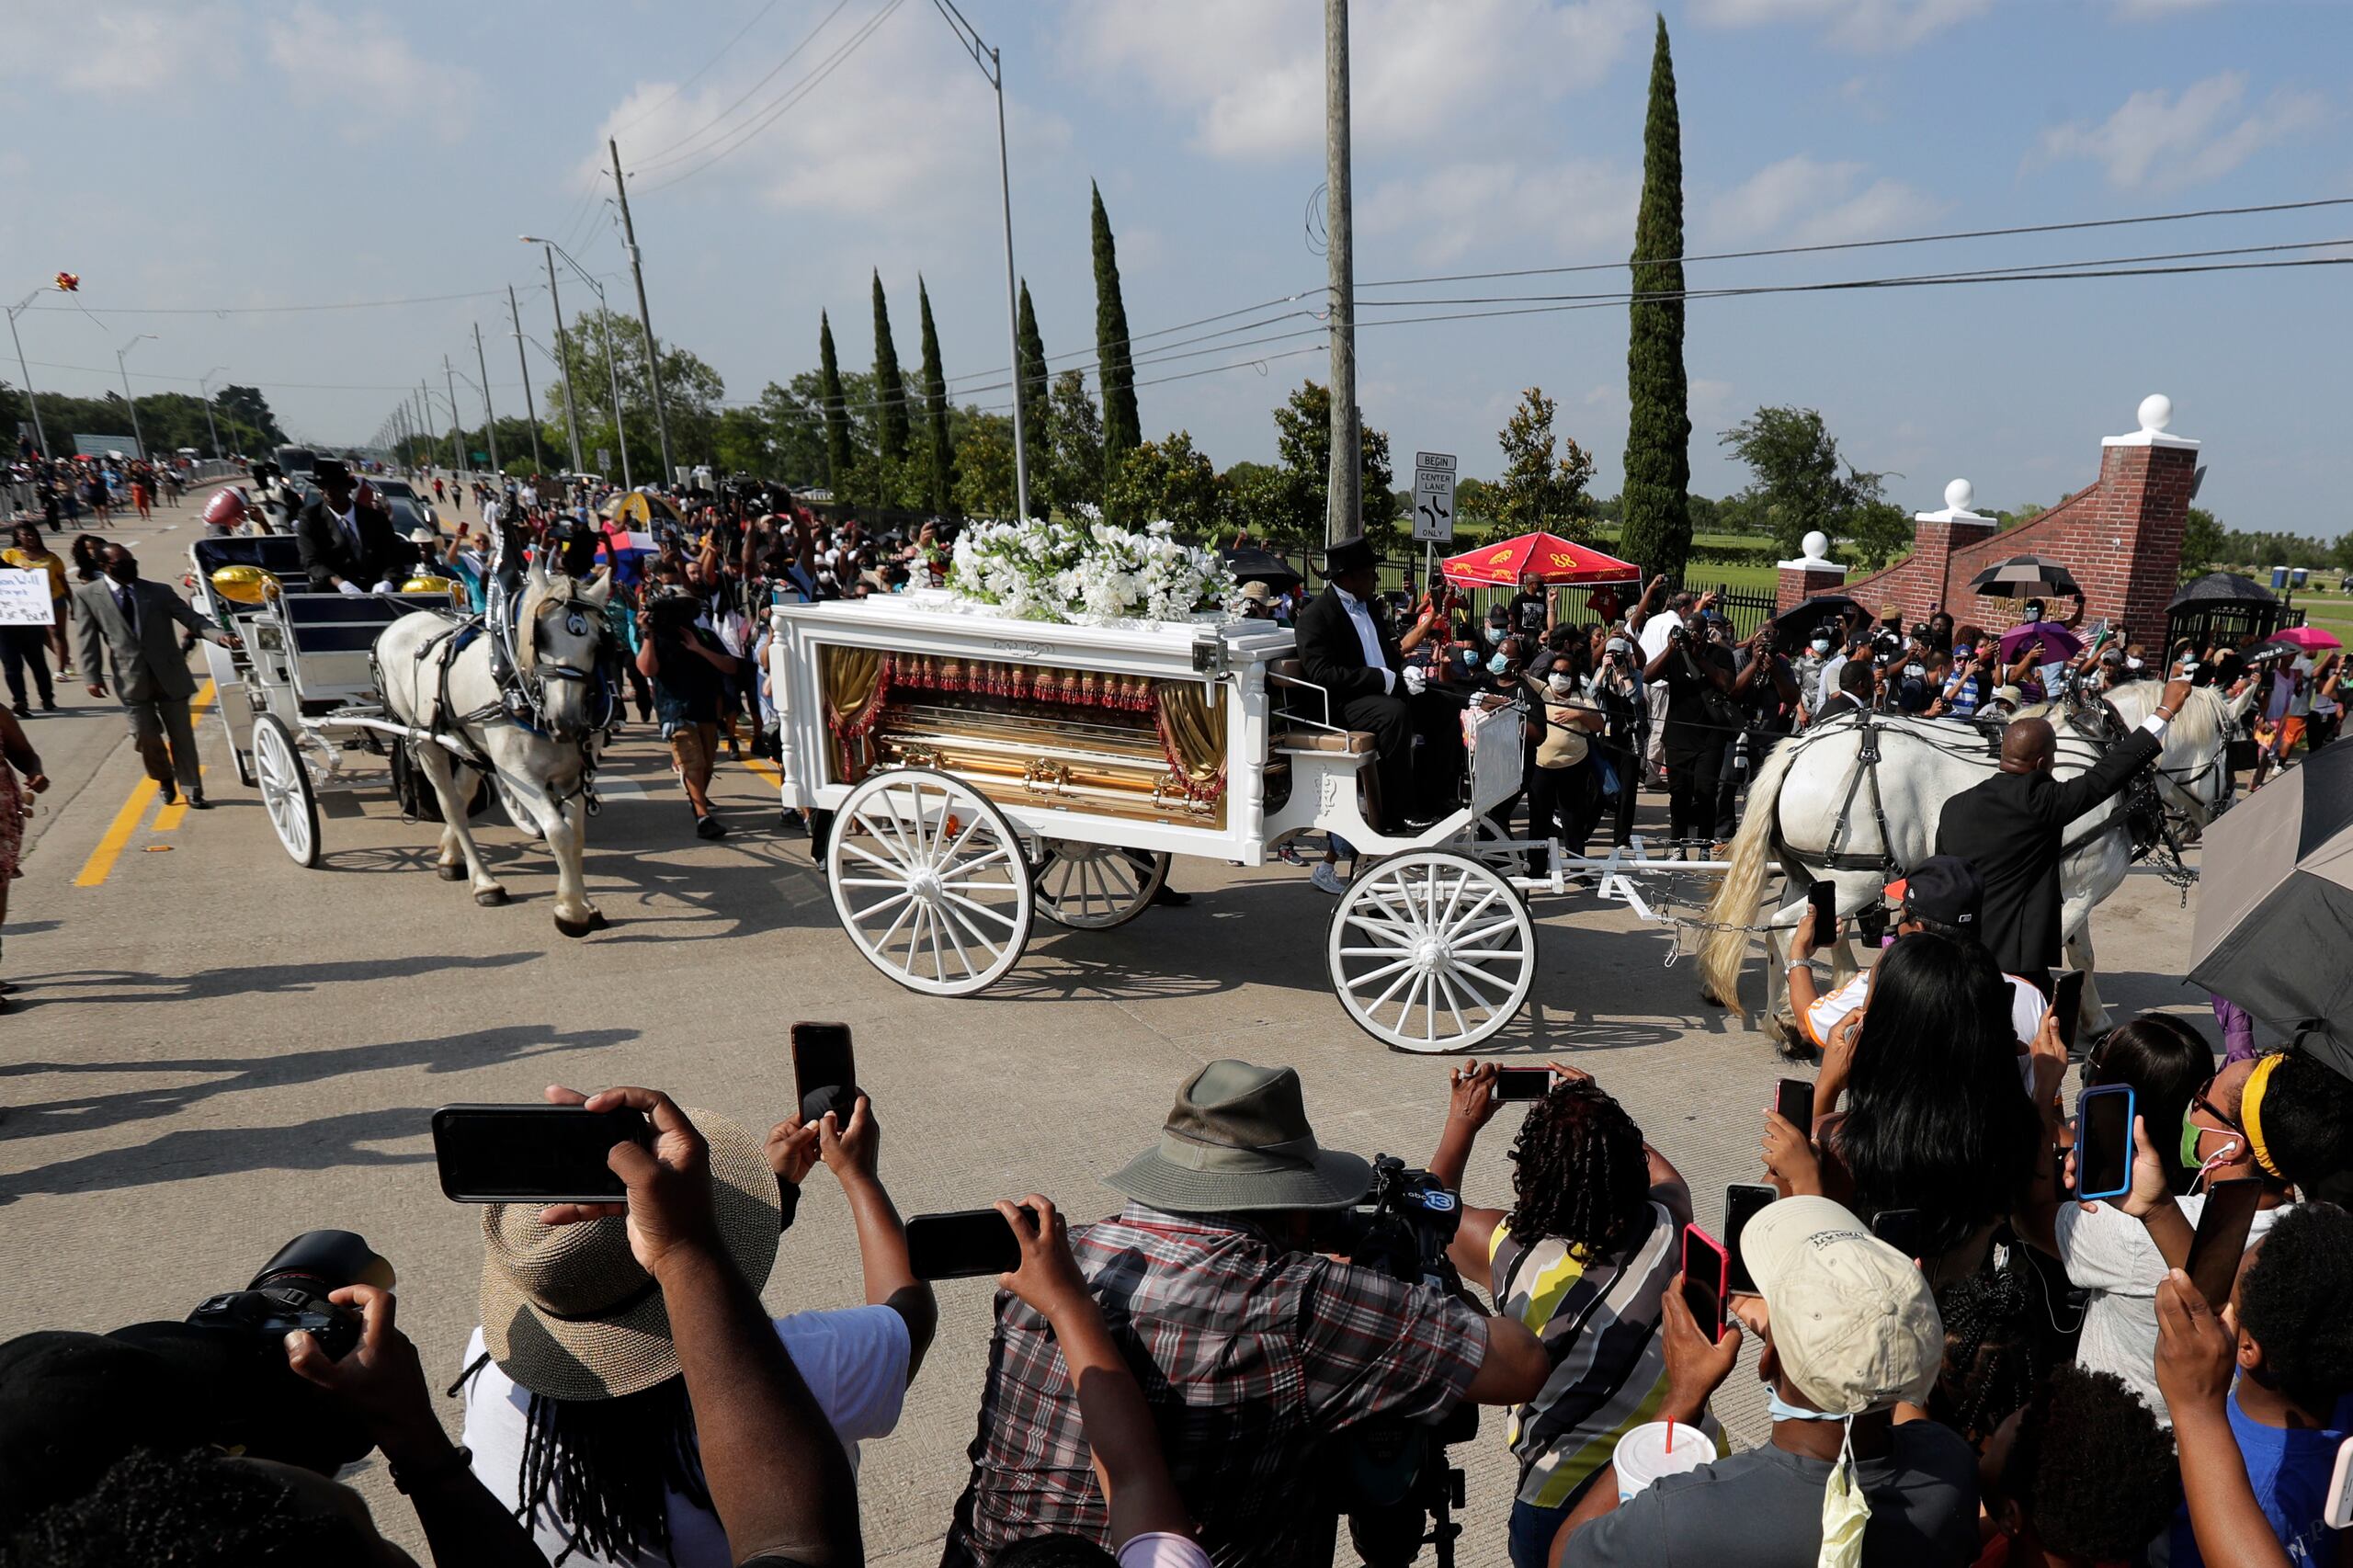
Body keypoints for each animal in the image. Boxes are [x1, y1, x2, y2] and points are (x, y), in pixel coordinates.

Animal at [376, 558, 616, 927]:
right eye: (540, 636)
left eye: (597, 643)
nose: (566, 722)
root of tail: (398, 623)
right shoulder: (517, 773)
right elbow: (557, 832)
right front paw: (570, 912)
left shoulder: (573, 773)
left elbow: (574, 835)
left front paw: (584, 904)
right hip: (426, 741)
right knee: (452, 806)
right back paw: (484, 882)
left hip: (467, 740)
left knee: (463, 793)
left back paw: (450, 856)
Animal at [1694, 682, 2240, 1036]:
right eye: (2231, 746)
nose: (2223, 809)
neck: (2100, 753)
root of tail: (1800, 746)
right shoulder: (2080, 891)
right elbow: (2048, 957)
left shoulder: (2072, 884)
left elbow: (2083, 955)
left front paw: (2095, 1019)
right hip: (1854, 881)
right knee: (1788, 930)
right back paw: (1794, 1024)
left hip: (1809, 875)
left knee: (1786, 932)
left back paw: (1782, 1016)